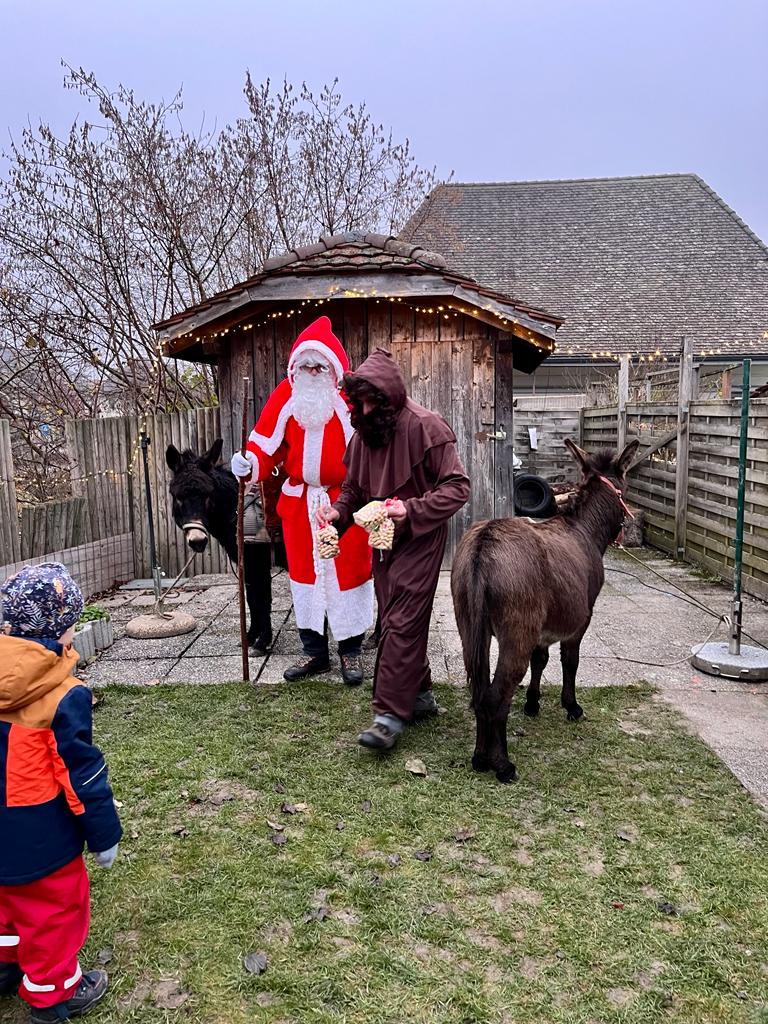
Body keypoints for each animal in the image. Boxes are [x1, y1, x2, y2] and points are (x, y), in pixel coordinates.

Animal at [165, 439, 275, 653]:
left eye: (208, 494)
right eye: (177, 497)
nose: (197, 540)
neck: (237, 510)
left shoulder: (257, 560)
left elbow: (262, 598)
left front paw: (262, 642)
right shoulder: (245, 563)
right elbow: (251, 599)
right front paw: (250, 637)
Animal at [451, 438, 639, 784]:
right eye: (625, 491)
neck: (583, 528)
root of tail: (484, 543)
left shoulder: (541, 630)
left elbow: (541, 660)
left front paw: (532, 703)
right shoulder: (581, 620)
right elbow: (570, 661)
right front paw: (572, 706)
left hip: (471, 627)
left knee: (480, 690)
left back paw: (480, 758)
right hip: (516, 633)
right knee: (496, 696)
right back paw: (503, 765)